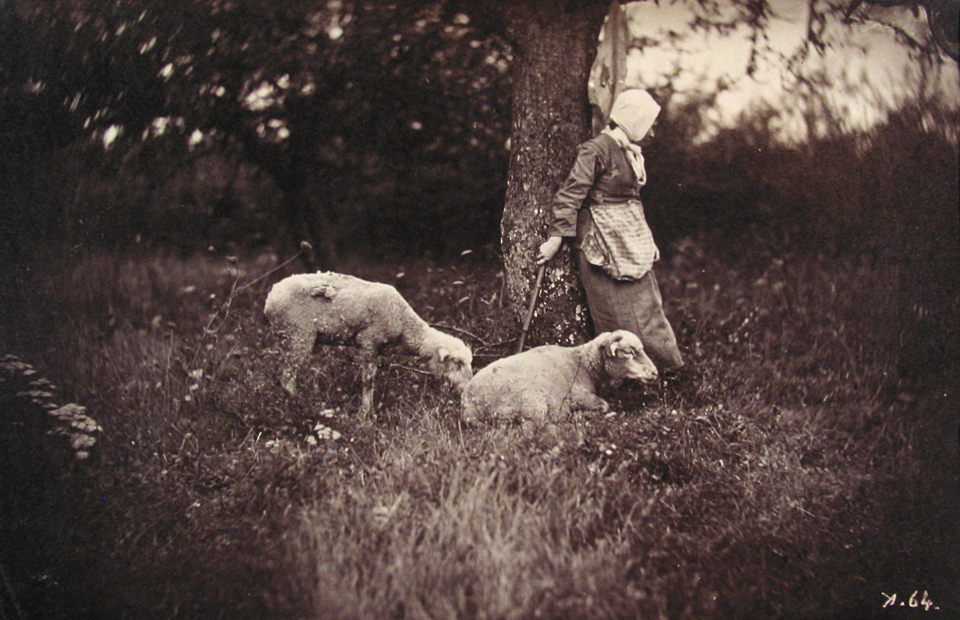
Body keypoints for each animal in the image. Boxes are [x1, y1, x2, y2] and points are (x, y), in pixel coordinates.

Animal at [264, 270, 474, 412]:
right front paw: (366, 412)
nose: (467, 388)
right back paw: (302, 406)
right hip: (298, 334)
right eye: (457, 363)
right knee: (287, 376)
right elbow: (368, 379)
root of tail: (270, 299)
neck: (404, 325)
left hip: (287, 337)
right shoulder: (369, 341)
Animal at [460, 332, 656, 424]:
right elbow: (604, 405)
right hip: (531, 403)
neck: (583, 363)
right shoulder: (578, 394)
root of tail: (468, 403)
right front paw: (582, 414)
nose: (655, 372)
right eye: (629, 352)